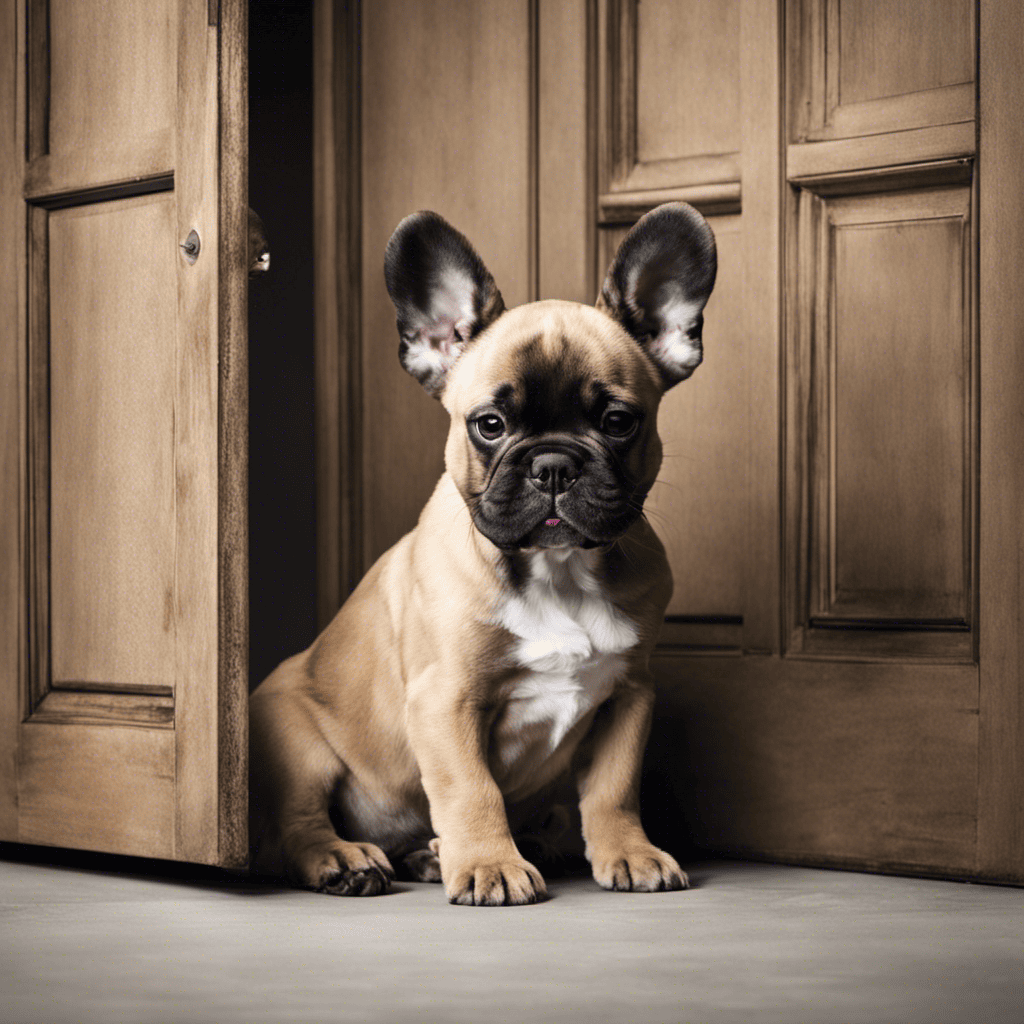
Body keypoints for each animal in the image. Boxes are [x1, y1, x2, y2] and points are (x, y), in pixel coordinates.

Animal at [248, 199, 716, 905]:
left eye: (618, 422)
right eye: (489, 425)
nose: (553, 465)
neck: (557, 572)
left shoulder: (630, 693)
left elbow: (614, 788)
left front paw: (630, 854)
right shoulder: (445, 700)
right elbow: (470, 789)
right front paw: (491, 864)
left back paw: (433, 852)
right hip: (297, 739)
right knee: (298, 824)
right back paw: (346, 858)